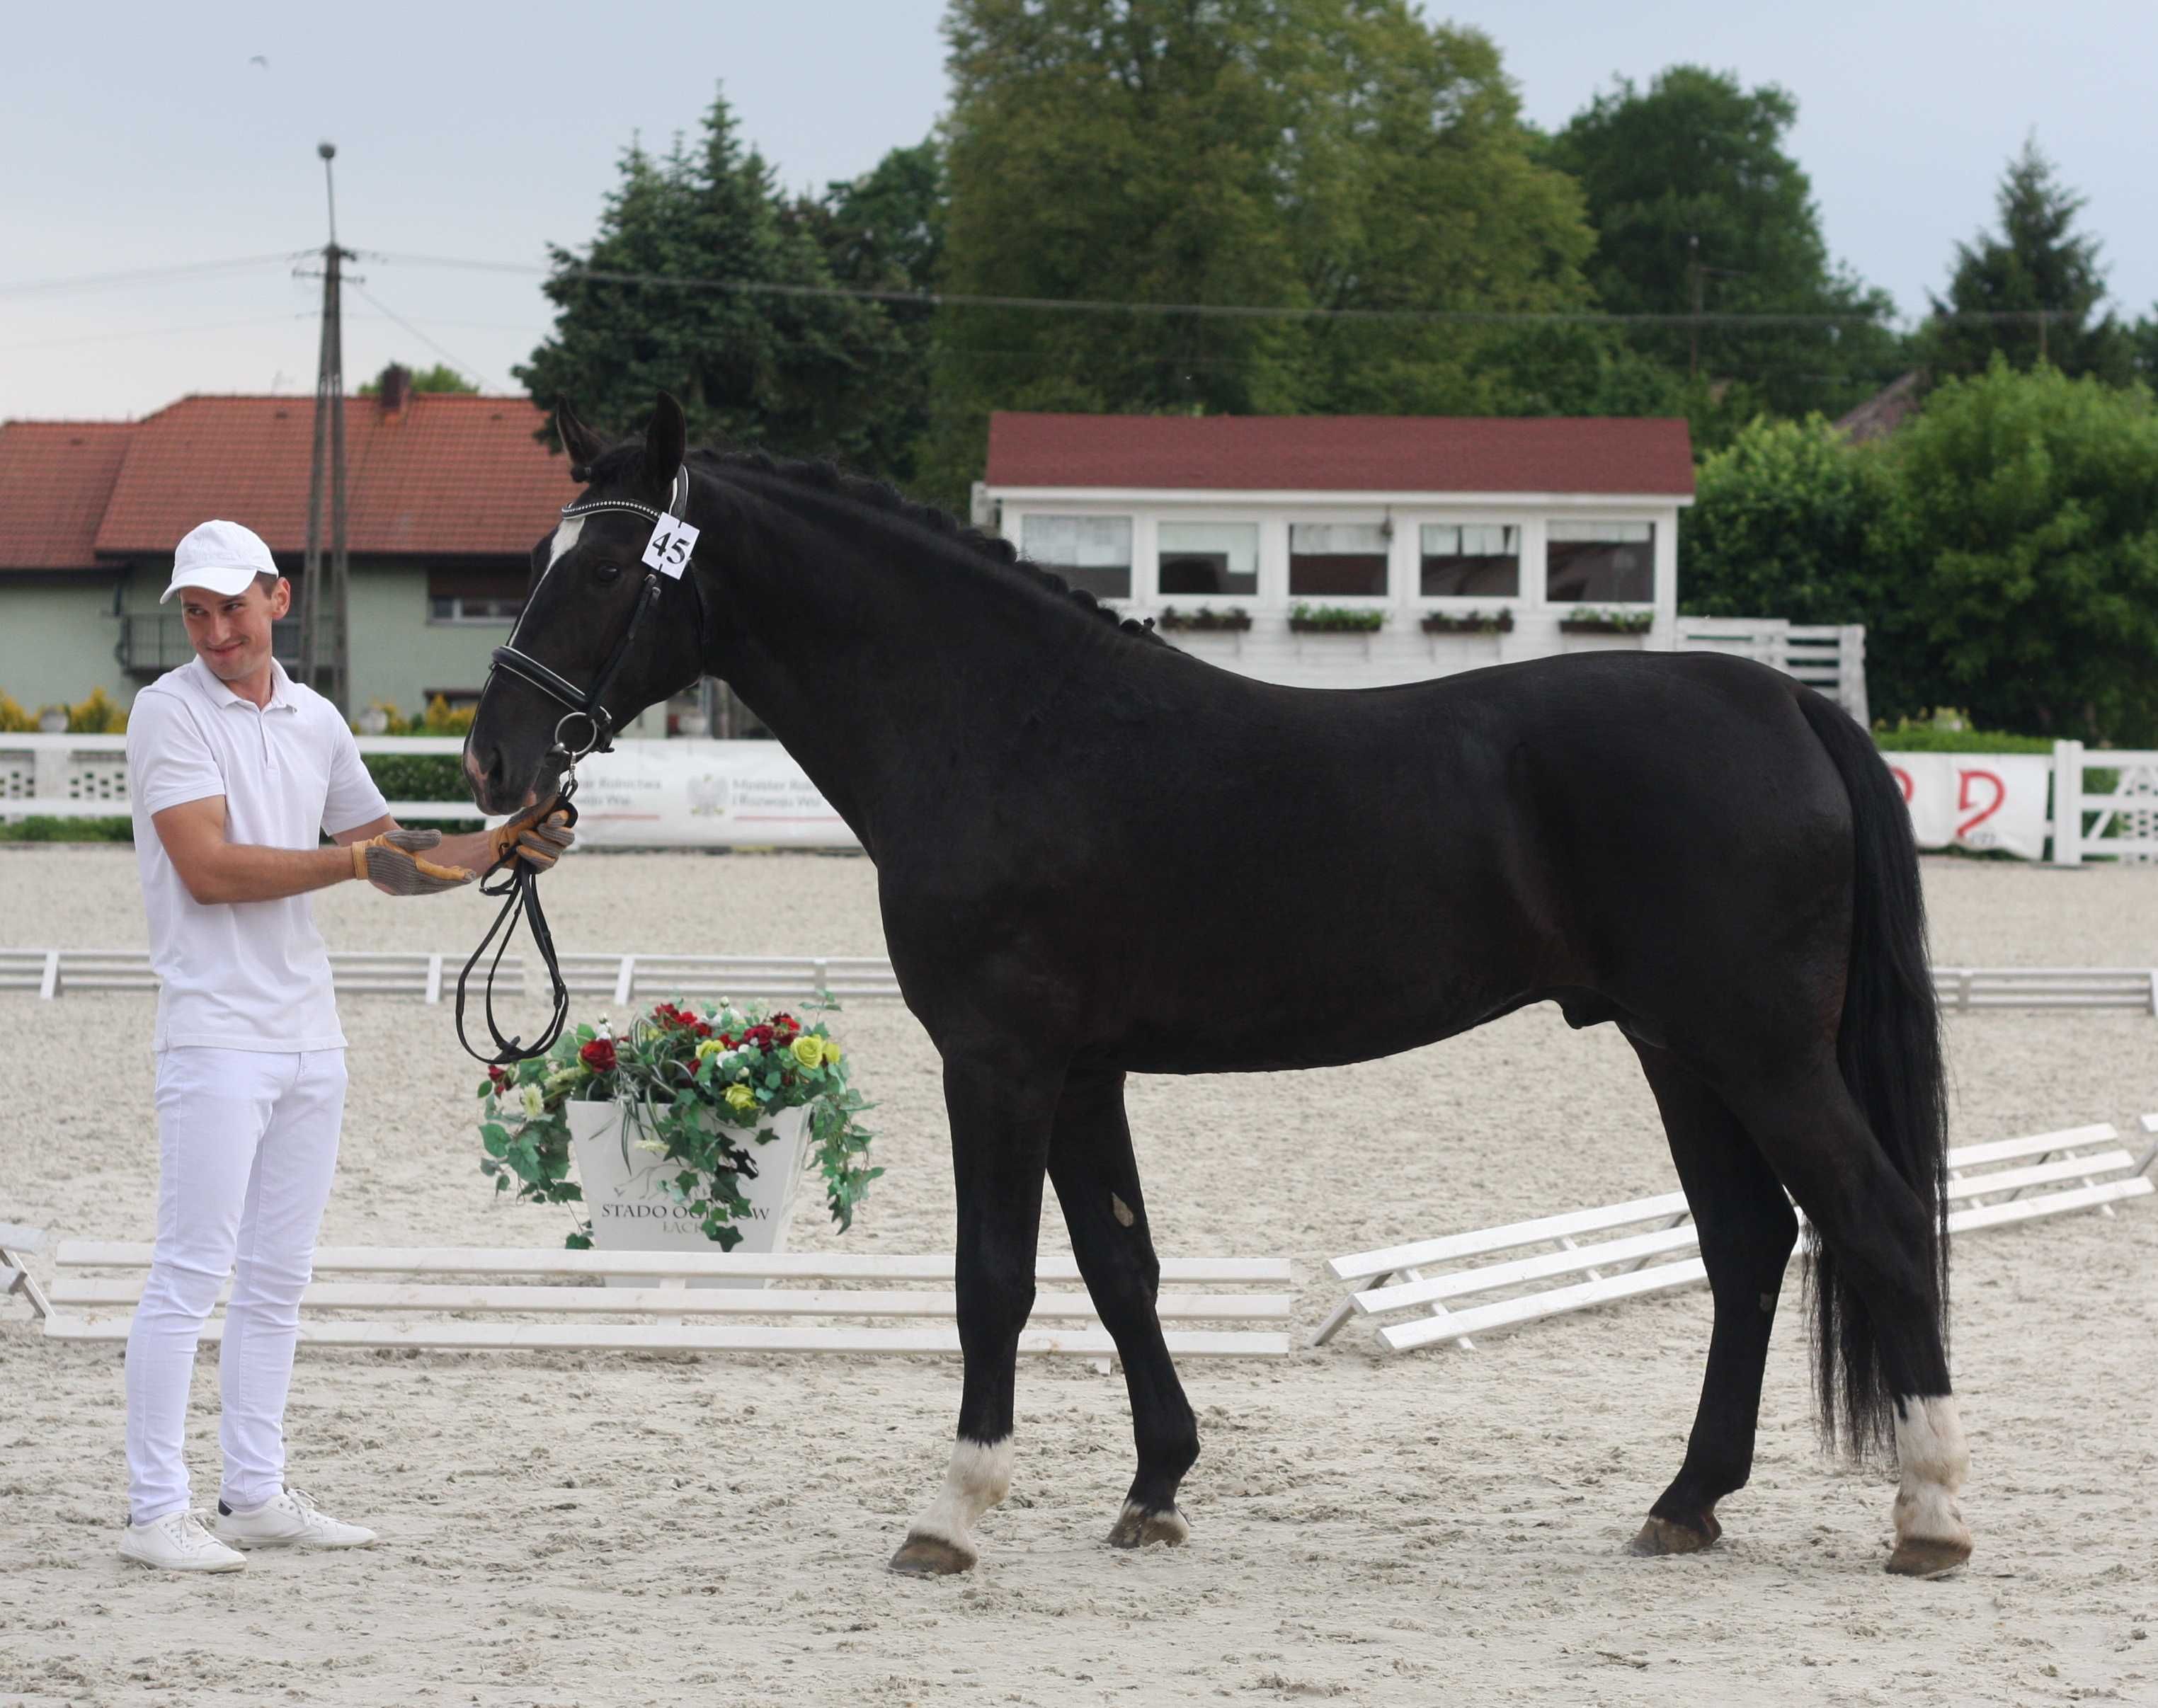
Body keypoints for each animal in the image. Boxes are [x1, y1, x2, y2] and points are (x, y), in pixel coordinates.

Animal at [468, 394, 1976, 1578]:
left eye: (606, 570)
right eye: (539, 557)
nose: (492, 760)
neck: (1006, 725)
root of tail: (1789, 703)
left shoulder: (998, 1059)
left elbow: (993, 1275)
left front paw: (951, 1510)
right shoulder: (1083, 1069)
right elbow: (1120, 1265)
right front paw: (1154, 1486)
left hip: (1760, 1049)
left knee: (1875, 1220)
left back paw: (1928, 1514)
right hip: (1680, 1046)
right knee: (1748, 1241)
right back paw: (1685, 1501)